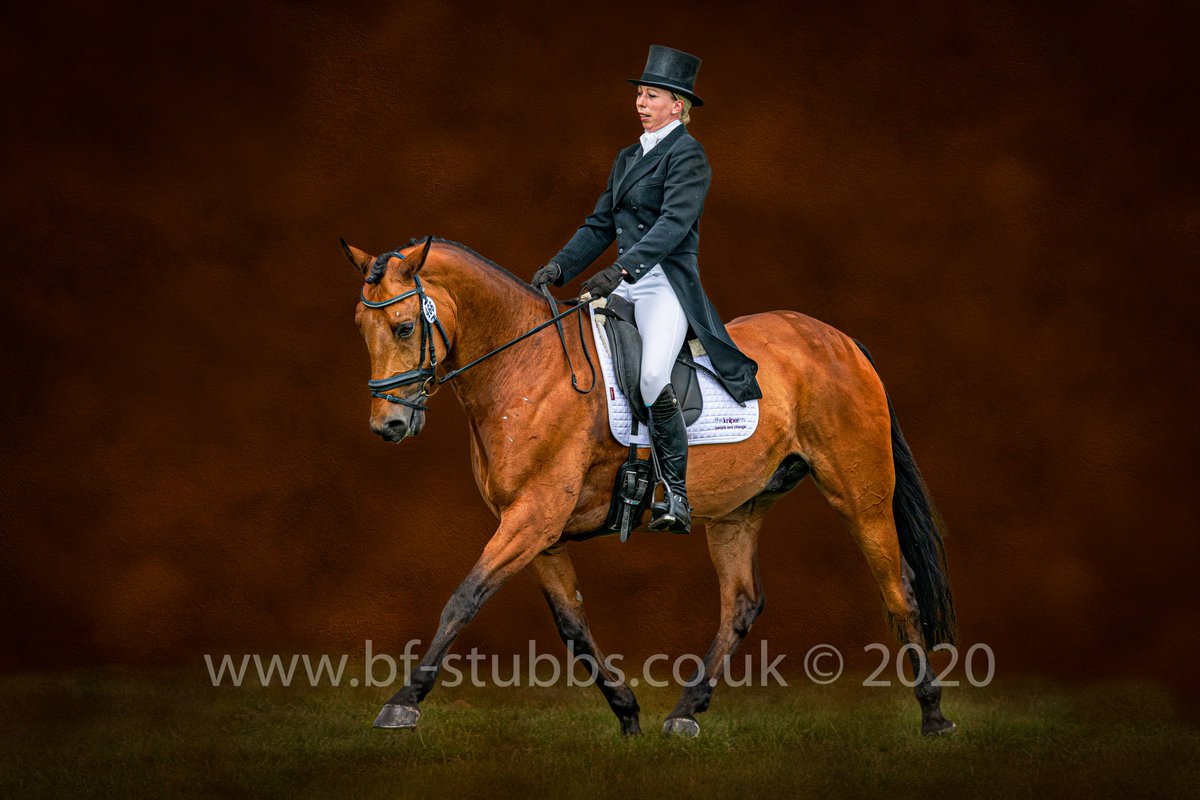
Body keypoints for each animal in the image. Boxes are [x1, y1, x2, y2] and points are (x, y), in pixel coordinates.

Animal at [342, 235, 957, 737]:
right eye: (360, 328)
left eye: (403, 327)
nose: (387, 425)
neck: (524, 366)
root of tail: (838, 339)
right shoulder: (537, 530)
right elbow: (572, 625)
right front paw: (626, 710)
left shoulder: (533, 516)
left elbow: (463, 599)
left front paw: (403, 702)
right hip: (738, 511)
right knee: (741, 603)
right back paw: (685, 712)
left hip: (860, 493)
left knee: (898, 589)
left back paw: (933, 713)